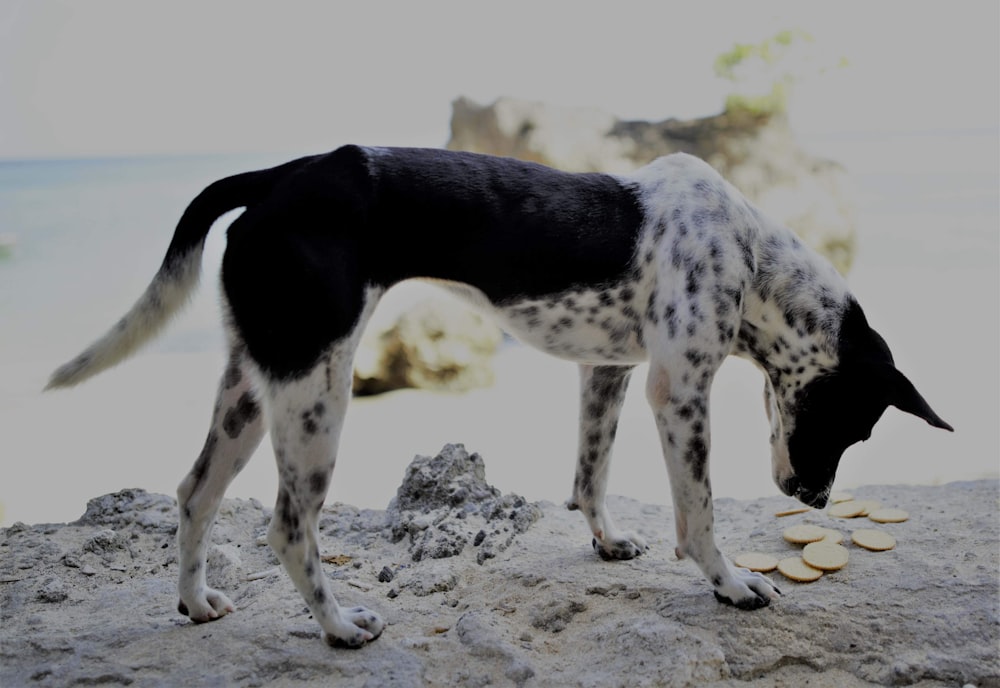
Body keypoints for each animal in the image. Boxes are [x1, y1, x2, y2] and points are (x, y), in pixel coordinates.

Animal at [48, 145, 952, 644]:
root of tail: (283, 174)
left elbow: (589, 474)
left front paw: (607, 541)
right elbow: (698, 516)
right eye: (857, 427)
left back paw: (196, 603)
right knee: (287, 527)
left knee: (195, 492)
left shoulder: (610, 370)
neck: (753, 254)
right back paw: (339, 629)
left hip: (251, 384)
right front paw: (730, 584)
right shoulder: (681, 391)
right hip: (316, 391)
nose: (816, 500)